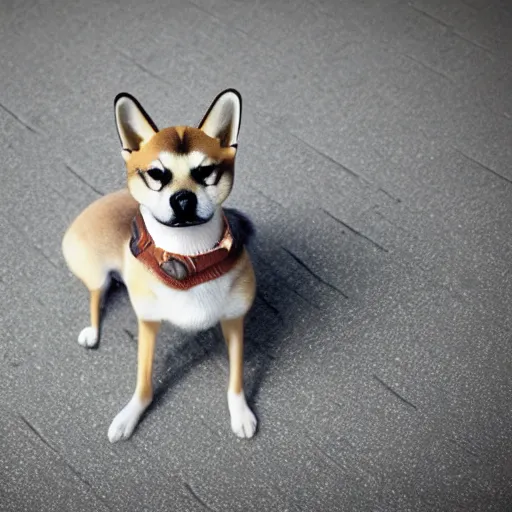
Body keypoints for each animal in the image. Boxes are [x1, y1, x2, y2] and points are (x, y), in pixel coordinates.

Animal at [62, 90, 258, 442]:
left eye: (206, 171)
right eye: (156, 174)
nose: (182, 199)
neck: (188, 259)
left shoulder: (234, 323)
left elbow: (236, 379)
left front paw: (240, 413)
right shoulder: (148, 325)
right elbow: (143, 383)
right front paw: (128, 416)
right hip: (96, 275)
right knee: (97, 298)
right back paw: (93, 332)